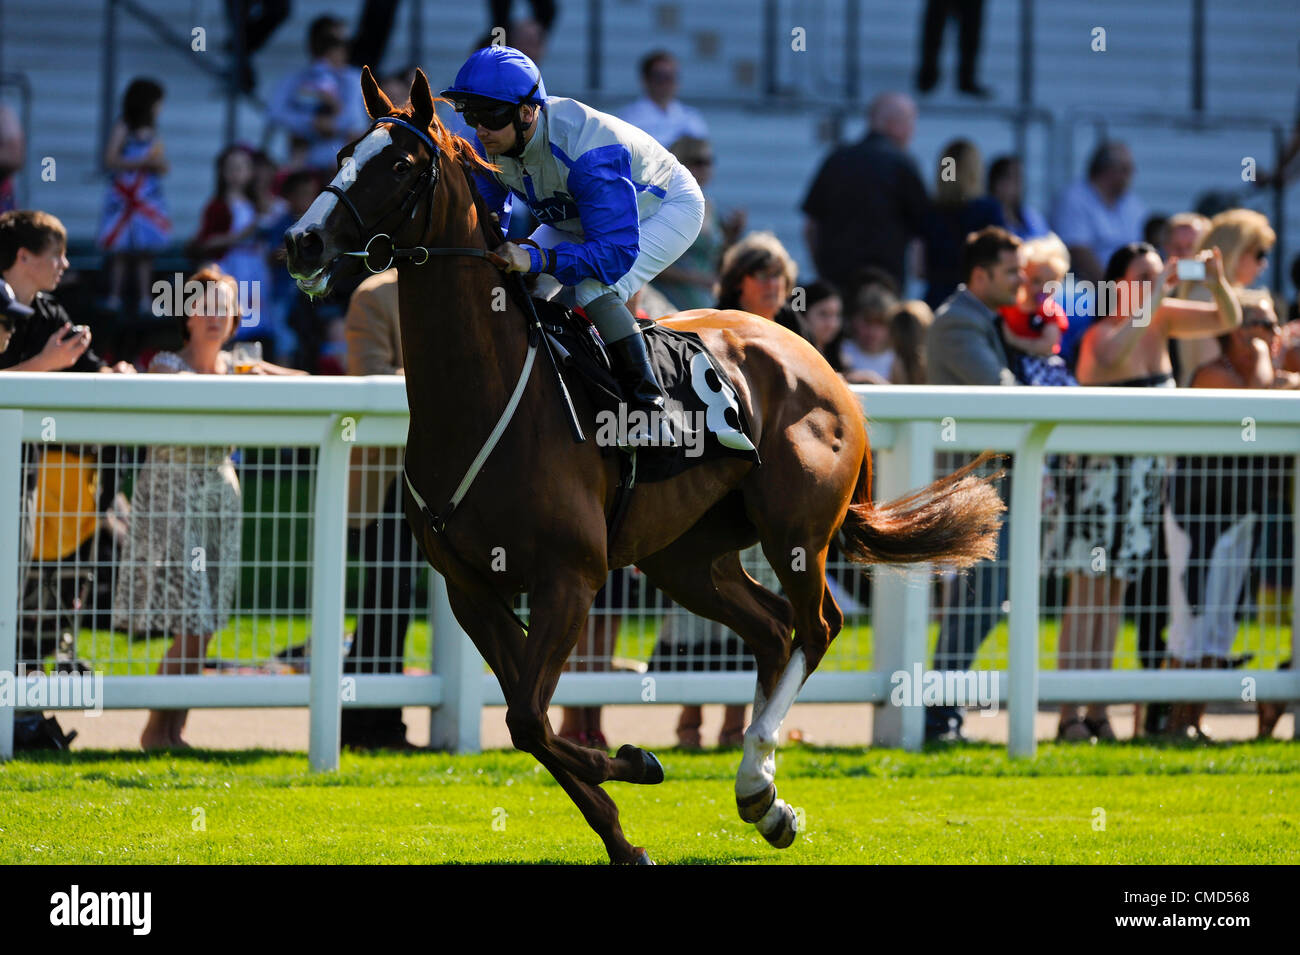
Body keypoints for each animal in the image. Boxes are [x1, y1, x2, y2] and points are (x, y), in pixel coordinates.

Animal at [287, 63, 1003, 862]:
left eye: (402, 165)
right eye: (343, 151)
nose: (301, 241)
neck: (484, 395)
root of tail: (823, 366)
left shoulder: (570, 575)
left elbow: (528, 719)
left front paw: (637, 762)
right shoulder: (471, 588)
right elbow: (528, 717)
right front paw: (623, 831)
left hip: (794, 530)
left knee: (816, 626)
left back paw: (758, 778)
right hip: (684, 554)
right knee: (769, 628)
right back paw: (764, 798)